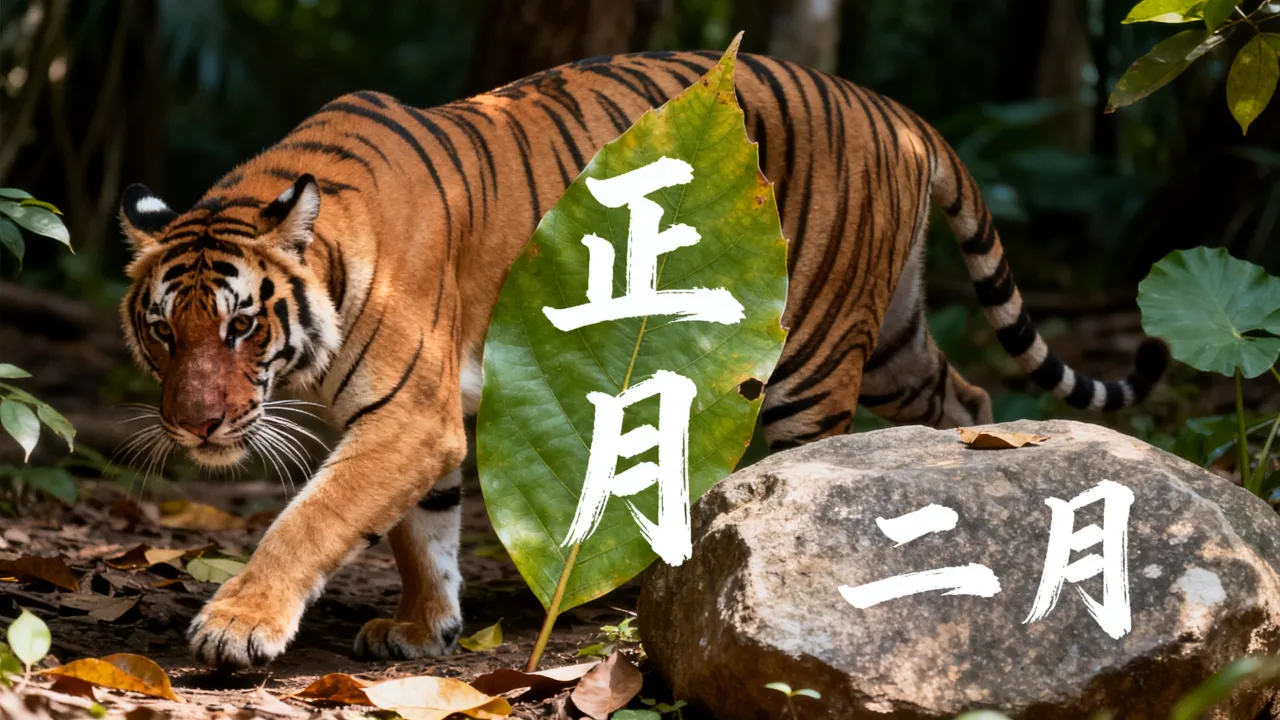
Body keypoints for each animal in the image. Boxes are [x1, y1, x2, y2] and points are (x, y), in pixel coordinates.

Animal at [117, 49, 1167, 668]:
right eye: (164, 329)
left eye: (242, 327)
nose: (196, 424)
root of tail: (893, 107)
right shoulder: (416, 424)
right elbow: (424, 532)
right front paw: (425, 625)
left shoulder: (407, 416)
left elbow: (314, 517)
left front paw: (237, 624)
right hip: (898, 338)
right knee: (969, 390)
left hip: (814, 353)